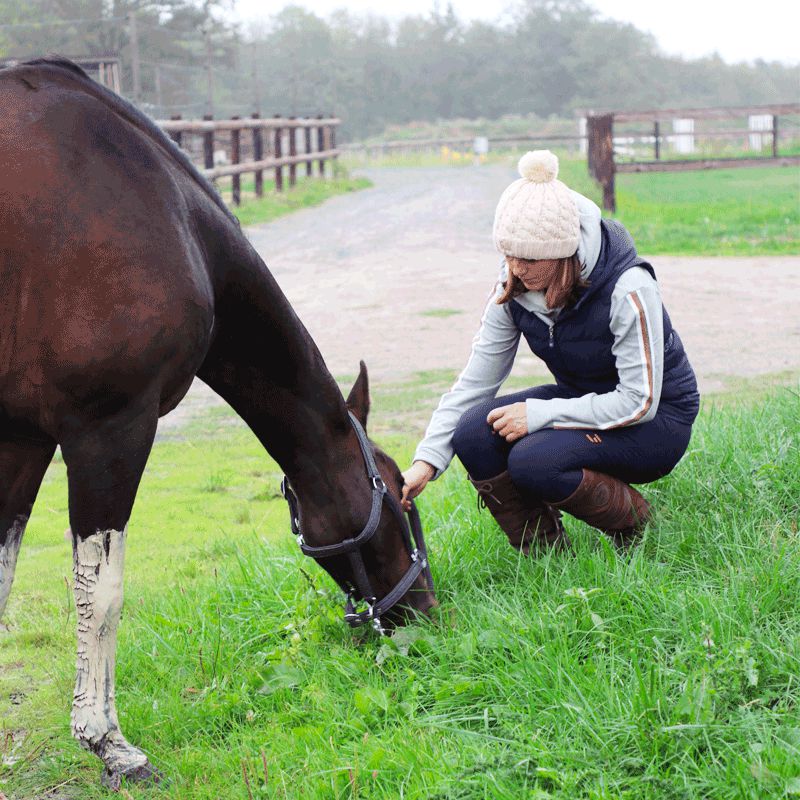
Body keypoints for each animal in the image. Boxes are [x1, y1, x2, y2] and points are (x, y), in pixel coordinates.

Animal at [0, 57, 438, 788]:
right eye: (398, 490)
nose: (426, 607)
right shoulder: (108, 428)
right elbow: (102, 593)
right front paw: (109, 742)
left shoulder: (22, 436)